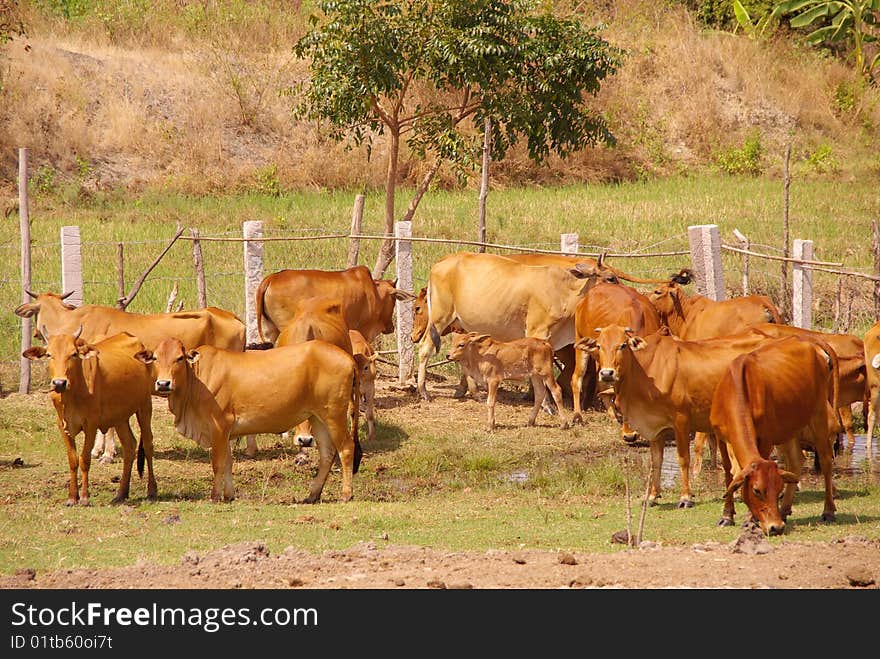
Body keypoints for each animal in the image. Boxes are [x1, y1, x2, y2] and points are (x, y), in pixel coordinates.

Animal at [21, 328, 156, 506]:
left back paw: (151, 490)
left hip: (145, 406)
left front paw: (84, 497)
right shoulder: (63, 426)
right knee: (129, 446)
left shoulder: (91, 424)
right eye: (49, 354)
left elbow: (84, 459)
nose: (59, 383)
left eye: (73, 354)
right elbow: (73, 460)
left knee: (147, 445)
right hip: (120, 417)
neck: (72, 393)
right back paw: (121, 494)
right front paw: (72, 497)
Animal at [135, 338, 360, 502]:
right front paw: (229, 495)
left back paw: (346, 494)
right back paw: (313, 495)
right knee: (327, 453)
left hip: (334, 415)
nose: (163, 383)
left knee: (346, 448)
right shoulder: (226, 432)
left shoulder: (219, 425)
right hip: (317, 417)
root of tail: (349, 359)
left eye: (180, 358)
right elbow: (227, 462)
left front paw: (214, 496)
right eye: (155, 358)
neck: (196, 380)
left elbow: (217, 462)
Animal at [254, 264, 416, 346]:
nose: (391, 327)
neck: (375, 293)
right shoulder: (360, 331)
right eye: (394, 299)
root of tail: (271, 278)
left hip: (270, 330)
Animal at [708, 336, 840, 536]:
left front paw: (750, 520)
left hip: (818, 413)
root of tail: (808, 338)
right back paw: (785, 510)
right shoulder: (721, 437)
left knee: (825, 461)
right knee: (796, 461)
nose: (776, 527)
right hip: (790, 425)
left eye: (778, 489)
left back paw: (828, 511)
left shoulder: (765, 437)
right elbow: (728, 473)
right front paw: (727, 515)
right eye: (756, 490)